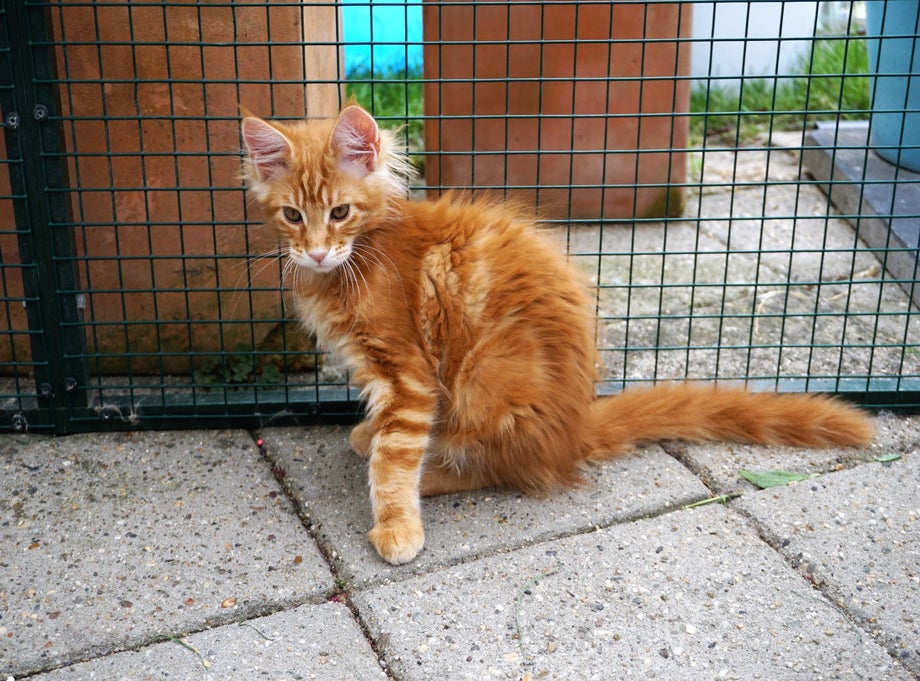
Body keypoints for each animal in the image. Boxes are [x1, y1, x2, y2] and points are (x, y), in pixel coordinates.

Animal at [240, 104, 874, 566]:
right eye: (293, 217)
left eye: (341, 212)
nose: (316, 251)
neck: (358, 259)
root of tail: (575, 425)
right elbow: (390, 435)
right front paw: (371, 436)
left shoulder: (409, 375)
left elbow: (396, 457)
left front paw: (396, 522)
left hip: (486, 376)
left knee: (505, 467)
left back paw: (437, 472)